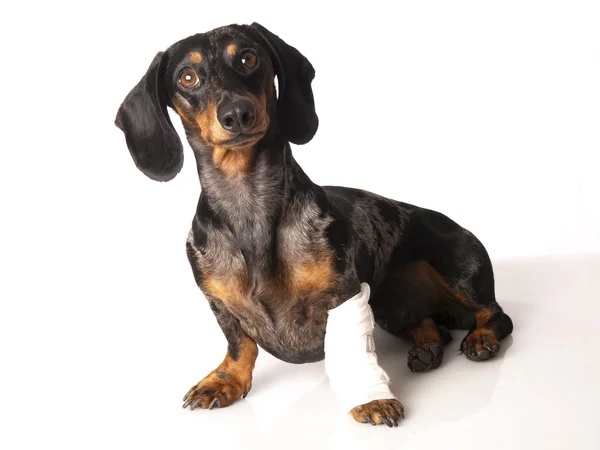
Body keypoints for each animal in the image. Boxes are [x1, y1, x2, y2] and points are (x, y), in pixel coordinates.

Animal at [117, 22, 516, 428]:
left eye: (248, 58)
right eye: (188, 77)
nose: (237, 113)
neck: (248, 206)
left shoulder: (344, 295)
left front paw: (372, 399)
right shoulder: (219, 302)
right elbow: (239, 344)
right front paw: (225, 380)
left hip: (458, 268)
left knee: (497, 315)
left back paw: (481, 338)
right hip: (389, 306)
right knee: (430, 324)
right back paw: (427, 348)